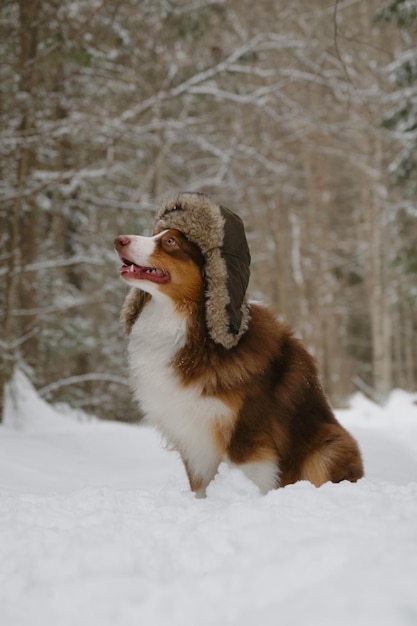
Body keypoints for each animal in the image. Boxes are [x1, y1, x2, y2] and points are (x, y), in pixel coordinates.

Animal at [114, 193, 360, 494]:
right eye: (155, 234)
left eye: (170, 241)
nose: (118, 240)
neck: (195, 331)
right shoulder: (193, 434)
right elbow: (200, 486)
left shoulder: (248, 432)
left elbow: (252, 476)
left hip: (329, 445)